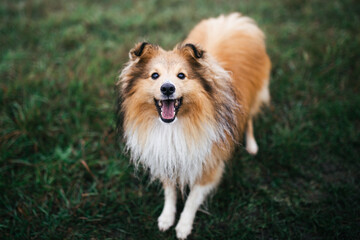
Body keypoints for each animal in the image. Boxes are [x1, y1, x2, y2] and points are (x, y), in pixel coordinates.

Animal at [116, 12, 272, 238]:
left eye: (181, 75)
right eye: (155, 75)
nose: (167, 88)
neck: (174, 127)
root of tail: (234, 21)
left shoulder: (209, 164)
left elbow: (192, 199)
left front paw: (183, 226)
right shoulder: (166, 156)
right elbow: (170, 192)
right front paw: (166, 217)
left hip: (255, 94)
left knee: (250, 117)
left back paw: (251, 145)